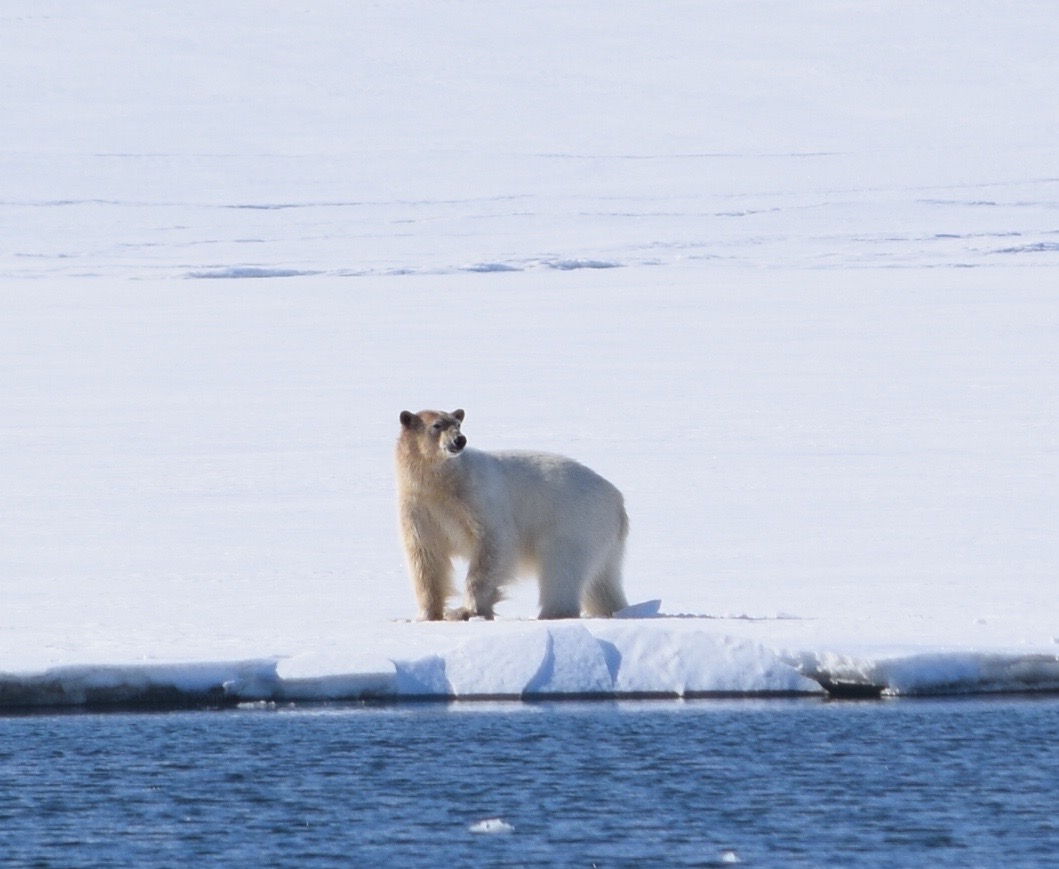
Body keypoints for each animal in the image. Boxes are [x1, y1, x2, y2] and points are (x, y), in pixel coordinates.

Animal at [395, 408, 629, 621]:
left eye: (457, 424)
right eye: (437, 425)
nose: (459, 440)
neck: (444, 483)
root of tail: (617, 500)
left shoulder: (476, 499)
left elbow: (493, 543)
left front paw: (465, 611)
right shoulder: (419, 507)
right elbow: (426, 557)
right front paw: (426, 615)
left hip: (576, 520)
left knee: (562, 567)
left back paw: (553, 613)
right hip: (601, 536)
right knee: (602, 582)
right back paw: (612, 609)